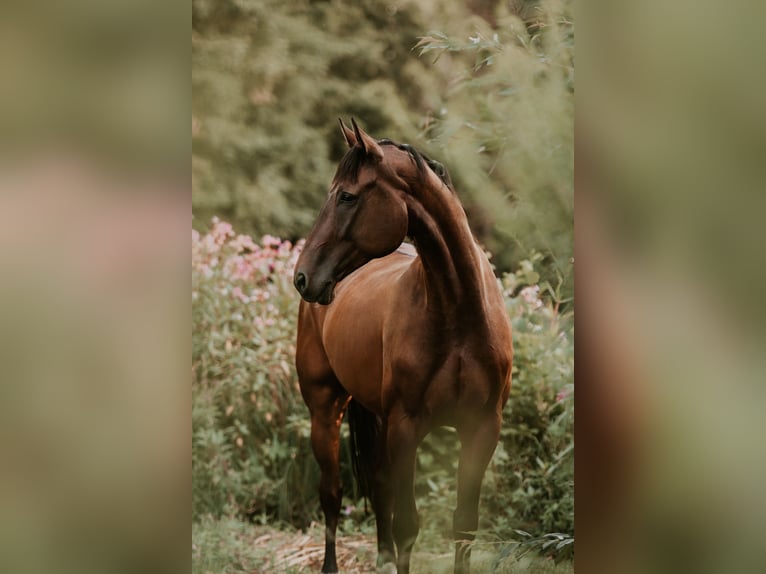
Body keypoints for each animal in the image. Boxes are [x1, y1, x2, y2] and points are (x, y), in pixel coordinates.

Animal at [294, 119, 516, 572]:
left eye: (347, 196)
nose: (303, 277)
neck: (459, 313)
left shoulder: (483, 427)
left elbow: (464, 525)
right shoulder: (406, 427)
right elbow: (408, 526)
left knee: (378, 489)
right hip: (325, 410)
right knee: (332, 494)